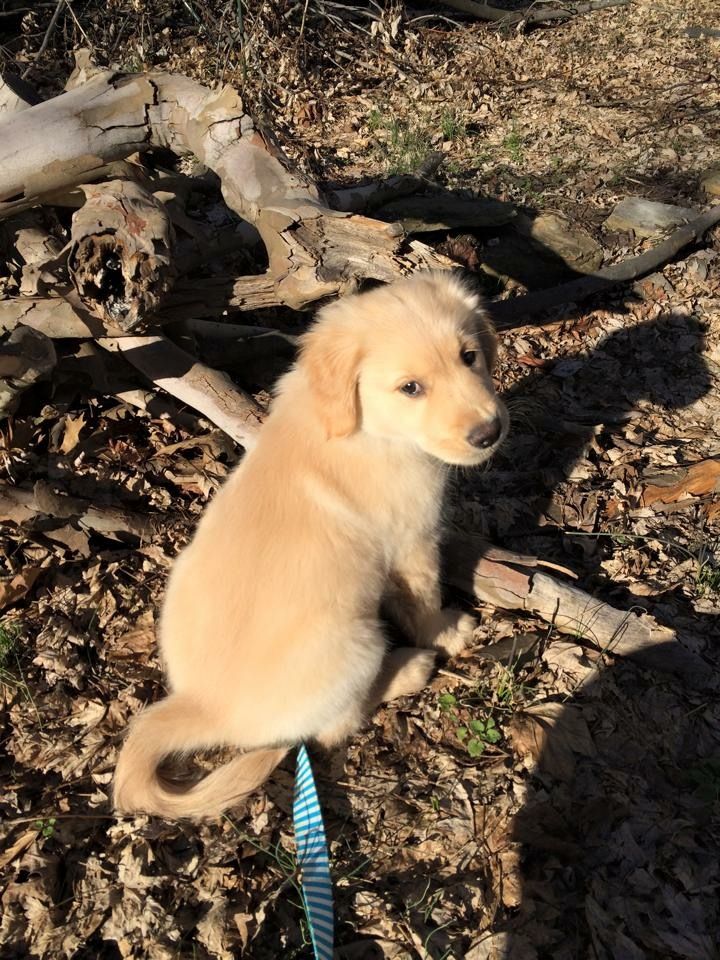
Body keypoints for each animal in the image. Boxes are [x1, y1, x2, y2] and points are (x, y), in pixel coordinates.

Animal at [113, 271, 509, 819]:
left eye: (469, 356)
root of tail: (202, 706)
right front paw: (445, 633)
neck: (359, 427)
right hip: (358, 640)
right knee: (335, 726)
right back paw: (408, 668)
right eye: (410, 388)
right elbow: (424, 599)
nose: (490, 432)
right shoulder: (412, 541)